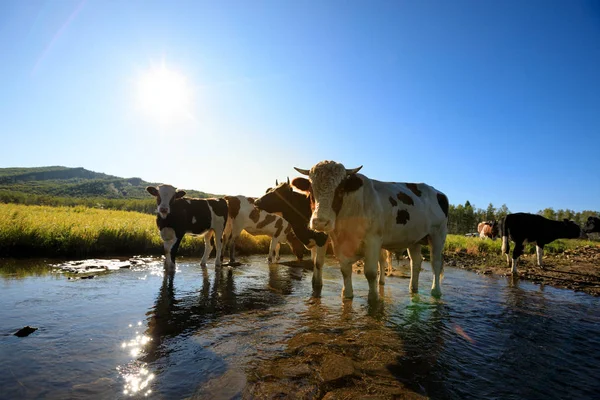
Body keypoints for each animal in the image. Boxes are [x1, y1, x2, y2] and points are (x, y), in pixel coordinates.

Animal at [254, 180, 392, 296]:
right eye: (270, 190)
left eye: (278, 193)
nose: (257, 201)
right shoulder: (315, 241)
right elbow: (314, 261)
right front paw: (314, 281)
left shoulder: (322, 239)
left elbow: (319, 263)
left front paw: (318, 285)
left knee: (381, 260)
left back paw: (381, 281)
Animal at [290, 160, 450, 300]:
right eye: (311, 189)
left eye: (340, 189)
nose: (320, 222)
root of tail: (438, 192)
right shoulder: (339, 243)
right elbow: (345, 270)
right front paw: (347, 294)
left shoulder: (373, 240)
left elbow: (371, 272)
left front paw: (373, 298)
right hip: (414, 239)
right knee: (415, 262)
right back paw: (413, 289)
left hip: (438, 234)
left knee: (436, 263)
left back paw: (435, 291)